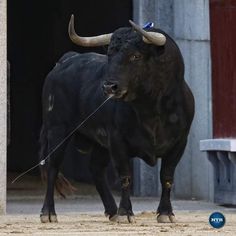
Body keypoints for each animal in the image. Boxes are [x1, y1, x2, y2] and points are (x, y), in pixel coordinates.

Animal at [39, 17, 195, 224]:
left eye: (136, 56)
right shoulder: (117, 141)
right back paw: (48, 212)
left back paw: (112, 210)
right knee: (53, 167)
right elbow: (125, 176)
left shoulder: (179, 143)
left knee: (96, 169)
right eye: (109, 55)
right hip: (57, 130)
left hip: (99, 143)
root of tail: (66, 60)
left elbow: (167, 176)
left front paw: (165, 212)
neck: (153, 109)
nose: (109, 87)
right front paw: (125, 213)